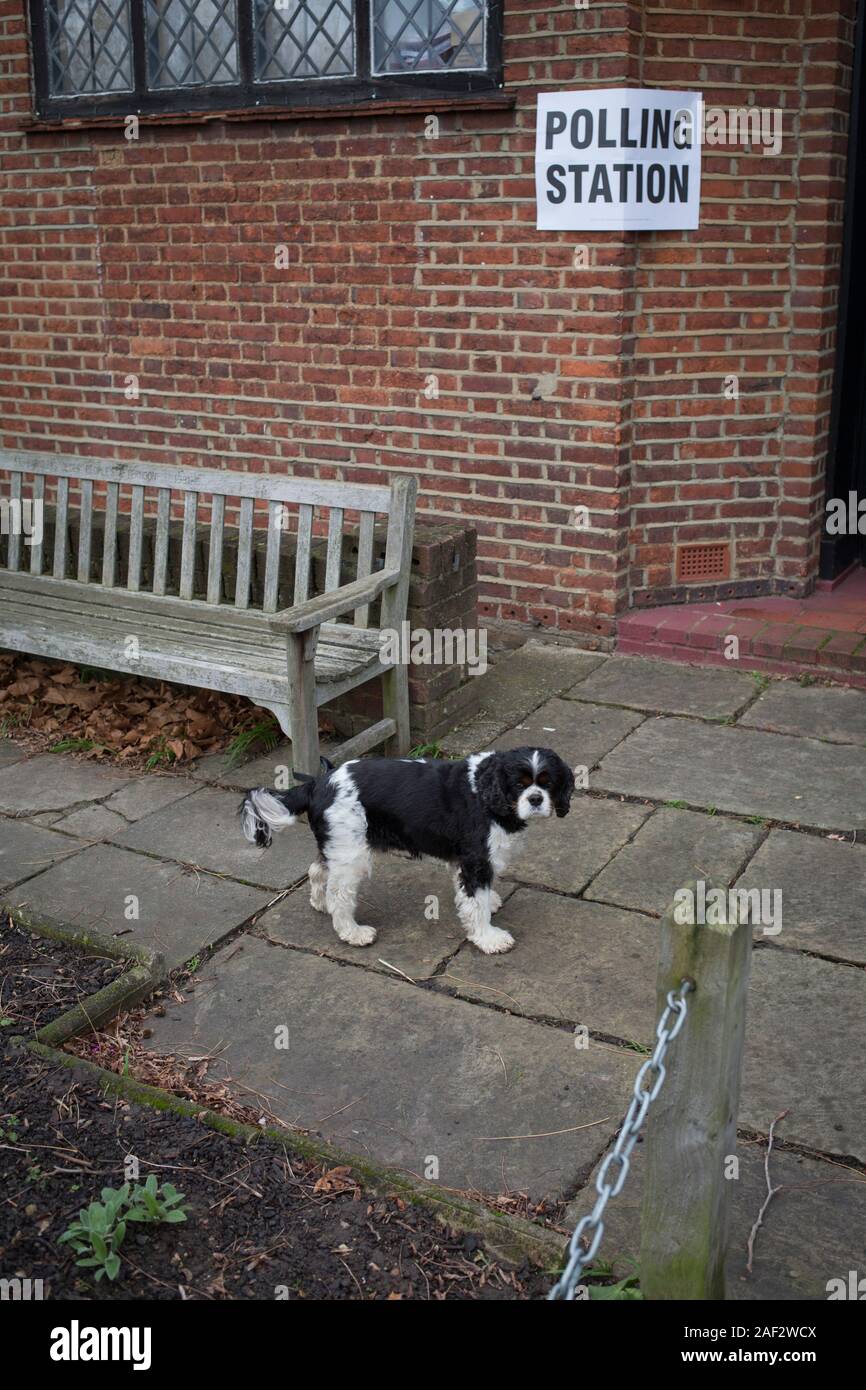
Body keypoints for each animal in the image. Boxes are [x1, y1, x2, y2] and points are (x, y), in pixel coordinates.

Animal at [240, 750, 572, 956]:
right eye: (519, 784)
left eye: (548, 783)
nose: (535, 799)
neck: (486, 790)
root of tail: (318, 783)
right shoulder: (475, 860)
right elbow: (474, 903)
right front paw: (488, 938)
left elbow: (476, 895)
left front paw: (490, 904)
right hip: (352, 855)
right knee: (340, 894)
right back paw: (353, 933)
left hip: (339, 845)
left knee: (318, 871)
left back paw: (321, 905)